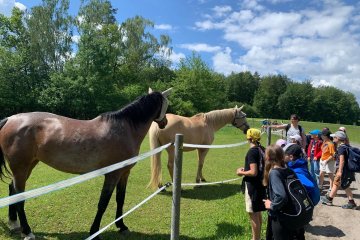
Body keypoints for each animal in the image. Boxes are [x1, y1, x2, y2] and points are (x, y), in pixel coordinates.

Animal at [0, 87, 173, 239]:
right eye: (166, 104)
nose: (165, 122)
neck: (125, 129)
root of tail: (10, 119)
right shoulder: (112, 174)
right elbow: (103, 203)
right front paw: (94, 231)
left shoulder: (124, 173)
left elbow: (120, 199)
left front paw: (121, 226)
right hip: (21, 167)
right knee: (19, 196)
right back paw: (27, 232)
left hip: (28, 165)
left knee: (12, 190)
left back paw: (14, 224)